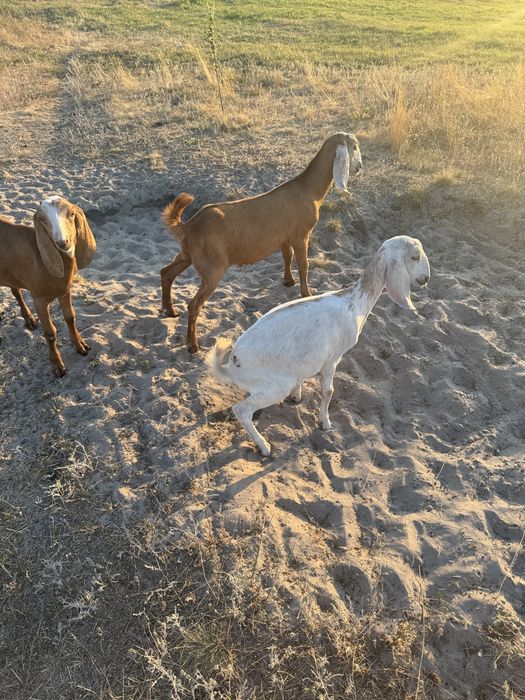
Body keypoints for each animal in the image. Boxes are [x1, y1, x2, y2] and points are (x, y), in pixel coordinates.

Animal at [0, 196, 96, 377]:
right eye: (42, 220)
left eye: (71, 214)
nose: (62, 242)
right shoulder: (39, 299)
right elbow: (50, 333)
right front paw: (57, 366)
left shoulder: (65, 290)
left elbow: (70, 317)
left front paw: (80, 345)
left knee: (15, 290)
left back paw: (29, 319)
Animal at [161, 132, 362, 353]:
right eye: (354, 147)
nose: (360, 167)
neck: (308, 190)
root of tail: (188, 226)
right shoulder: (301, 235)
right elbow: (303, 264)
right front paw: (306, 293)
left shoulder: (284, 236)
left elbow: (287, 256)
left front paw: (288, 281)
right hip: (212, 268)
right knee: (194, 304)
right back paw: (192, 345)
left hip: (188, 254)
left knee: (166, 273)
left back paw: (170, 311)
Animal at [206, 236, 430, 456]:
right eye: (414, 257)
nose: (425, 279)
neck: (354, 303)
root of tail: (232, 364)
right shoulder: (333, 359)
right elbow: (329, 391)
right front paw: (326, 423)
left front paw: (297, 397)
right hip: (275, 385)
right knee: (241, 410)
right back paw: (265, 447)